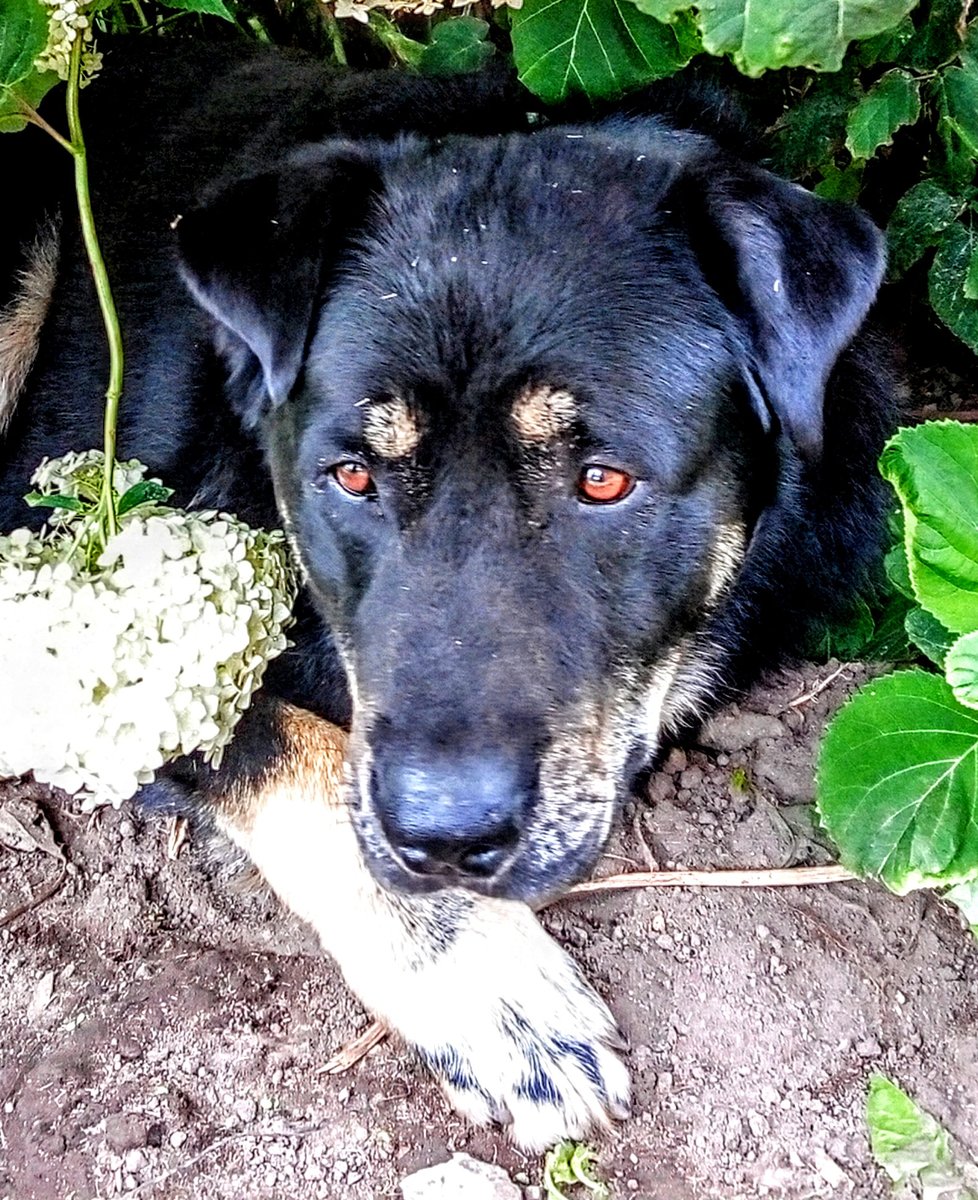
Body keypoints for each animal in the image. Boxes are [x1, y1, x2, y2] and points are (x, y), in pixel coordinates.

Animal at [0, 38, 896, 1150]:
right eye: (352, 476)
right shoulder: (74, 584)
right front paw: (485, 983)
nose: (445, 838)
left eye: (604, 480)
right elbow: (280, 738)